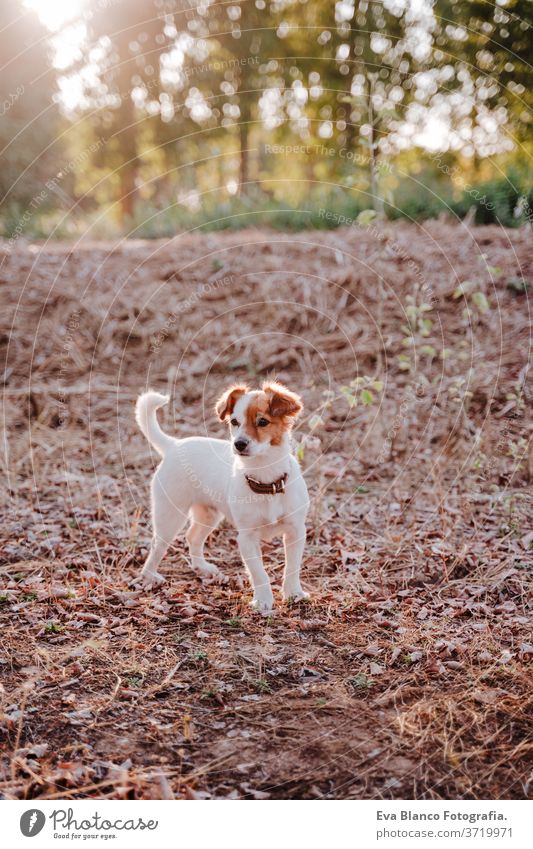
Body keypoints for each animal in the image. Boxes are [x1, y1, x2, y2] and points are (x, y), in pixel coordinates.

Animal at [135, 380, 310, 612]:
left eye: (263, 421)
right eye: (234, 422)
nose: (239, 444)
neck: (265, 480)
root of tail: (174, 445)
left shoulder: (295, 532)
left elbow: (292, 567)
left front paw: (293, 593)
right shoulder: (247, 538)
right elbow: (259, 573)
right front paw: (263, 600)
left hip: (209, 515)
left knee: (192, 537)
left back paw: (202, 568)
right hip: (170, 515)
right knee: (157, 545)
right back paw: (150, 576)